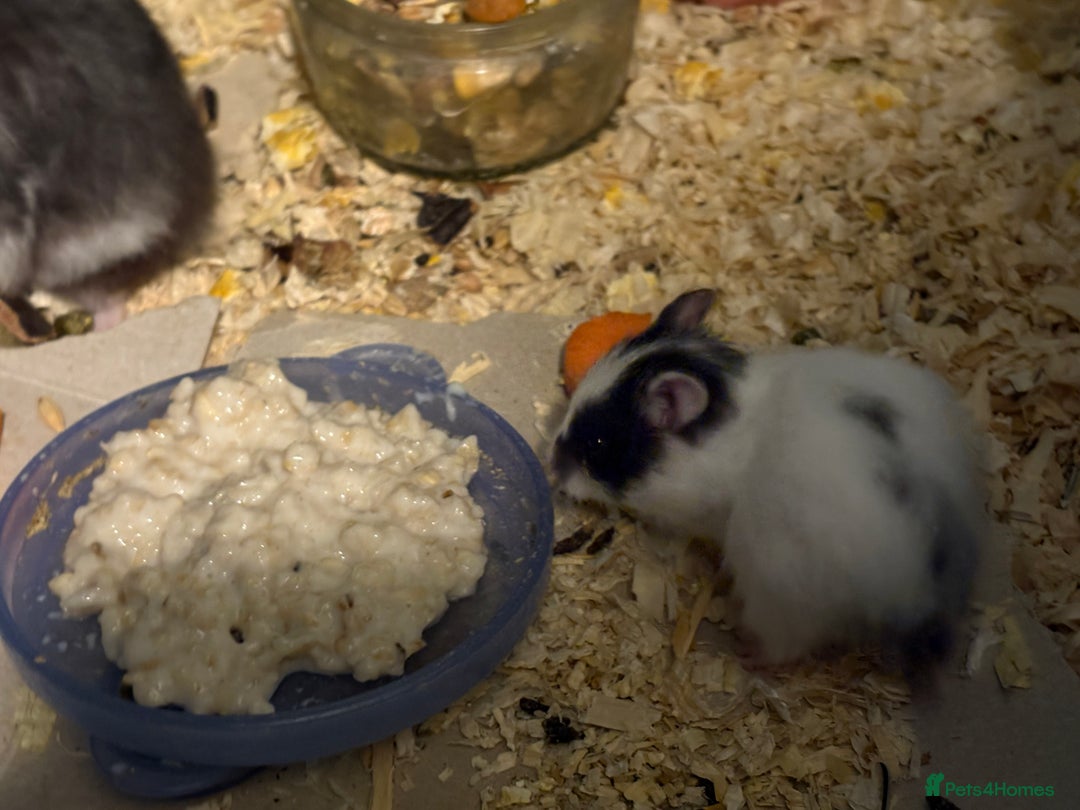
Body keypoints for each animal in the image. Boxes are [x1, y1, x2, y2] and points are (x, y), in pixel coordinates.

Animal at [552, 289, 984, 674]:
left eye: (599, 443)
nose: (552, 466)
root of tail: (919, 585)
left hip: (780, 593)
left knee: (785, 645)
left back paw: (746, 654)